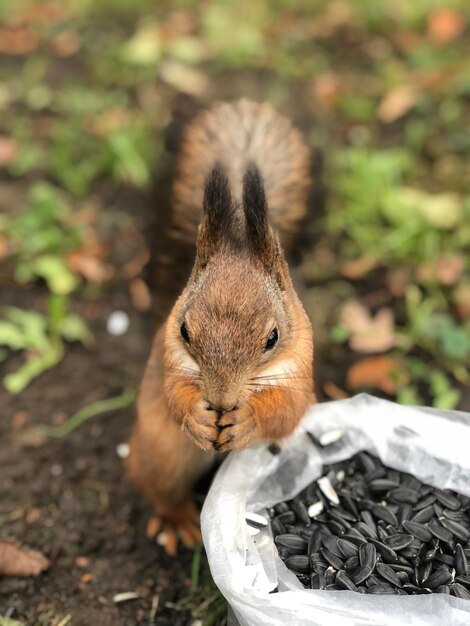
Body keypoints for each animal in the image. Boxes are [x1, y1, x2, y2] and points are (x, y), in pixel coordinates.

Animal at [126, 100, 314, 552]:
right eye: (184, 331)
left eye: (273, 338)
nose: (222, 400)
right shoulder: (168, 356)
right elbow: (173, 394)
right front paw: (196, 415)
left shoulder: (301, 368)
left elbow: (286, 411)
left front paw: (247, 421)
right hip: (160, 455)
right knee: (158, 488)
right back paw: (176, 520)